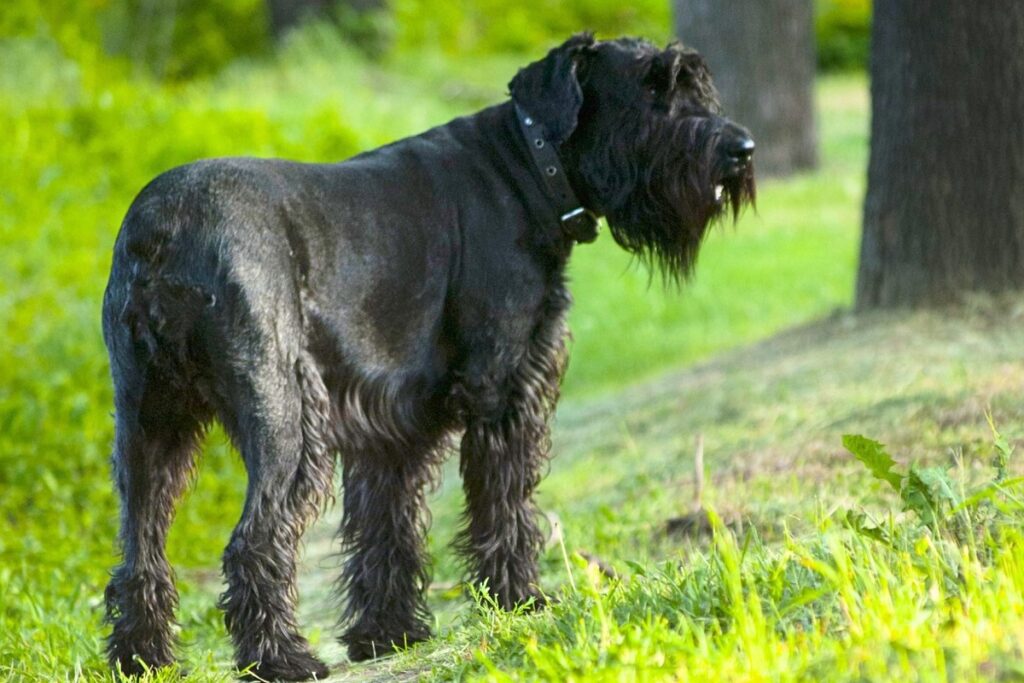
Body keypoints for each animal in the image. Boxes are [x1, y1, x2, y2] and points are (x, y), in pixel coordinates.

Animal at [101, 33, 753, 683]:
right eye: (651, 90)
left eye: (693, 82)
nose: (741, 150)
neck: (530, 164)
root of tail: (161, 232)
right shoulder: (505, 389)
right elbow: (504, 503)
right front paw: (519, 600)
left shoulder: (391, 425)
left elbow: (386, 529)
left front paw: (388, 635)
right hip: (284, 418)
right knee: (254, 541)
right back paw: (282, 658)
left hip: (149, 427)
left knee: (140, 553)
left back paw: (143, 660)